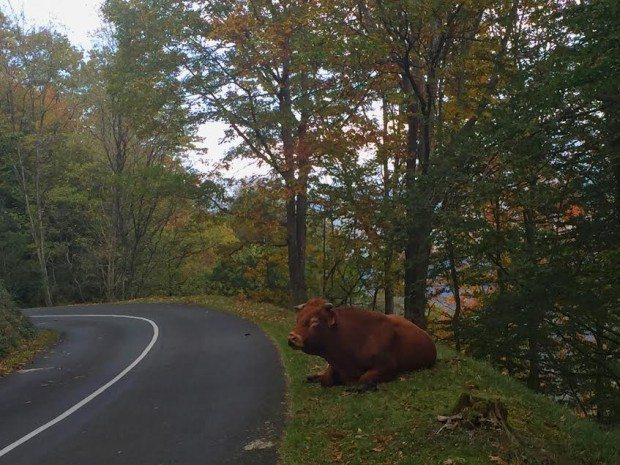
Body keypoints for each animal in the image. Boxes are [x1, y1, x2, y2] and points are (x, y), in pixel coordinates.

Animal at [286, 298, 436, 388]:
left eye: (315, 321)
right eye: (298, 319)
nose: (292, 338)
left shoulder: (388, 367)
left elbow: (363, 379)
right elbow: (326, 379)